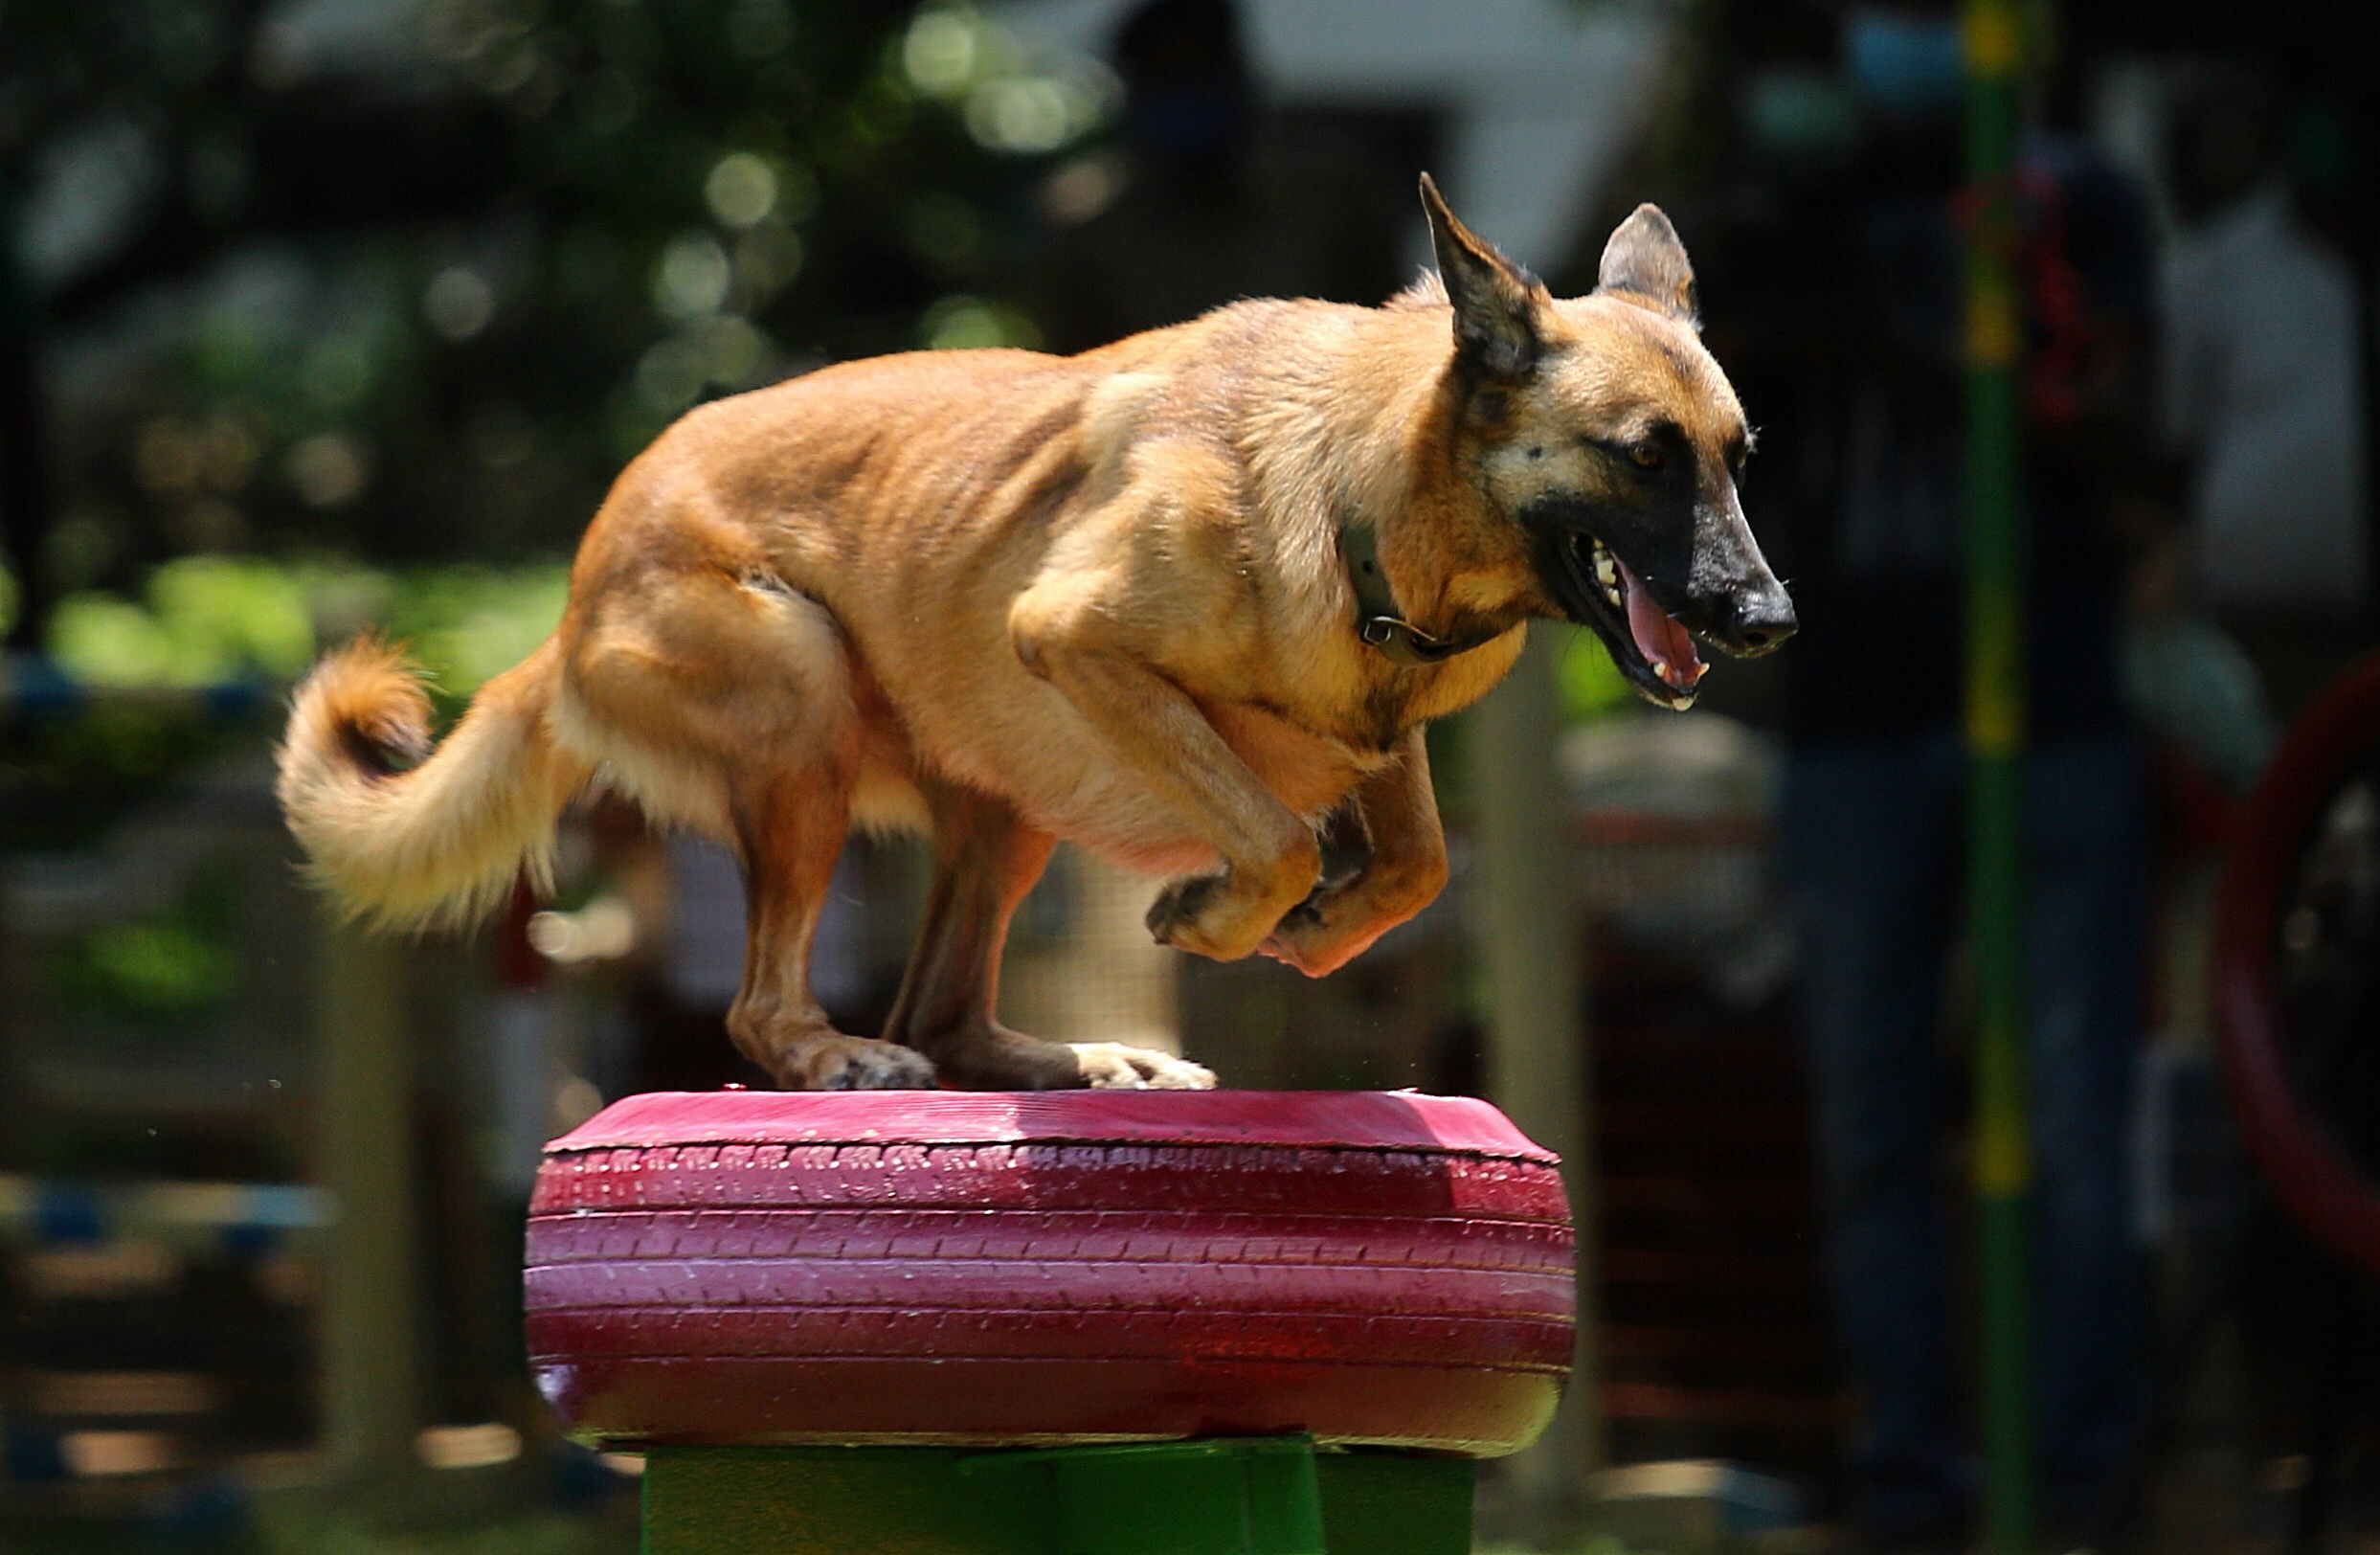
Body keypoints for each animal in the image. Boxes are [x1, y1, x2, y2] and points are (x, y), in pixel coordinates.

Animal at [273, 178, 1789, 1091]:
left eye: (1735, 459)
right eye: (1642, 457)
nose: (1769, 619)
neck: (1355, 486)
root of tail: (572, 596)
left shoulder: (1376, 732)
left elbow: (1406, 866)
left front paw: (1310, 932)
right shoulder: (1076, 643)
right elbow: (1276, 834)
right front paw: (1220, 913)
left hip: (1001, 816)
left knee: (938, 1012)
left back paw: (1080, 1063)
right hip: (805, 706)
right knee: (769, 1011)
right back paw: (835, 1057)